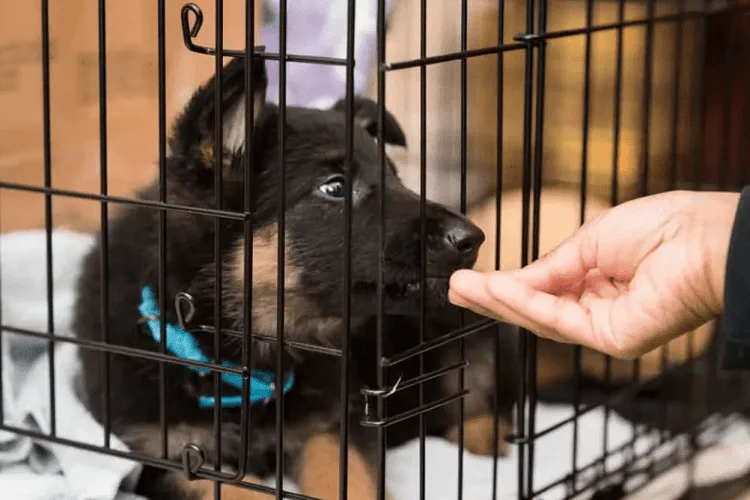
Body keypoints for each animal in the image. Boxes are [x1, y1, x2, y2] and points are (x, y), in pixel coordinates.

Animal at [75, 55, 524, 500]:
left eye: (397, 179)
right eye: (335, 188)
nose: (473, 239)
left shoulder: (332, 426)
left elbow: (350, 481)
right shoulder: (166, 456)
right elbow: (241, 491)